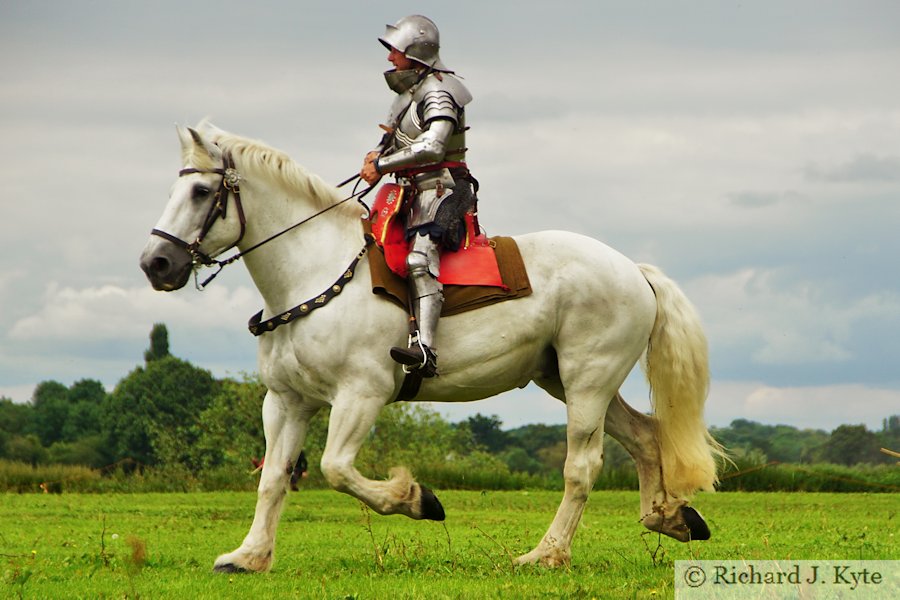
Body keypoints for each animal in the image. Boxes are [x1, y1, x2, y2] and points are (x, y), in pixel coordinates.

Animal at [142, 123, 724, 572]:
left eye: (200, 194)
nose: (156, 264)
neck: (316, 273)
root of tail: (633, 270)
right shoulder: (286, 402)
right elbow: (274, 479)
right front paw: (248, 556)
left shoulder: (361, 395)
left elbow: (335, 468)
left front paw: (416, 499)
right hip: (562, 378)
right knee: (646, 437)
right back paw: (669, 517)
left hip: (588, 381)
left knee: (581, 467)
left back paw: (546, 554)